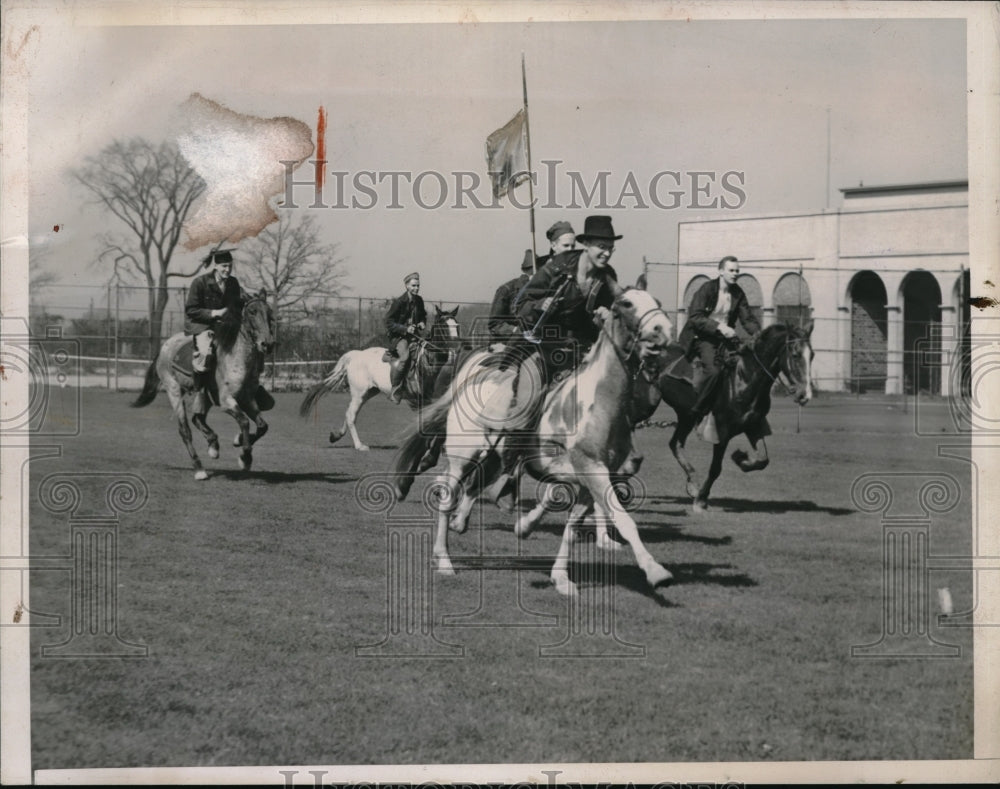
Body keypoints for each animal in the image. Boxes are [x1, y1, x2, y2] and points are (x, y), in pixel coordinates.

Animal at [132, 290, 278, 480]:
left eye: (269, 313)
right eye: (252, 312)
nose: (267, 344)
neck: (237, 358)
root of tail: (165, 347)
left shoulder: (247, 399)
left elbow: (262, 426)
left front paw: (239, 441)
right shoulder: (226, 401)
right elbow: (245, 421)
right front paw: (245, 456)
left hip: (204, 395)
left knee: (197, 418)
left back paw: (213, 445)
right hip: (174, 391)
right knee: (185, 430)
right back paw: (199, 468)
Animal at [296, 306, 460, 450]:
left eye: (457, 326)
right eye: (443, 326)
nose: (456, 348)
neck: (425, 361)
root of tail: (356, 355)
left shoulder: (426, 398)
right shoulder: (415, 400)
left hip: (369, 392)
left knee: (349, 413)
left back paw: (336, 435)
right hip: (359, 393)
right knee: (351, 415)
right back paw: (359, 446)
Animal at [390, 290, 672, 596]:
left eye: (657, 302)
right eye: (627, 304)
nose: (663, 330)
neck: (598, 400)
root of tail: (467, 383)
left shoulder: (590, 475)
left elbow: (571, 521)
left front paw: (560, 575)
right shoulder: (590, 469)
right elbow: (621, 518)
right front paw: (655, 570)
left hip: (491, 456)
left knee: (464, 483)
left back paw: (460, 522)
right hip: (463, 456)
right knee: (448, 491)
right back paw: (444, 559)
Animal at [652, 320, 816, 510]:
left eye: (812, 355)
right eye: (795, 355)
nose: (804, 395)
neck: (744, 380)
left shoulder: (753, 426)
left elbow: (763, 460)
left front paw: (740, 459)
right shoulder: (721, 431)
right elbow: (715, 468)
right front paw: (701, 499)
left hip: (686, 416)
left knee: (675, 444)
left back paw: (693, 483)